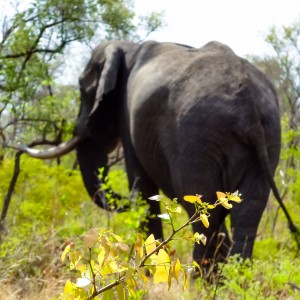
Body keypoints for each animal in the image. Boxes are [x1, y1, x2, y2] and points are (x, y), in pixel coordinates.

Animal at [19, 39, 284, 264]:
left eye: (84, 93)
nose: (21, 147)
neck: (126, 47)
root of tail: (247, 107)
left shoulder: (128, 116)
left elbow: (142, 188)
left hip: (196, 139)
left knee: (203, 207)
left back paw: (200, 282)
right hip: (267, 137)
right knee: (247, 212)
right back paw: (233, 279)